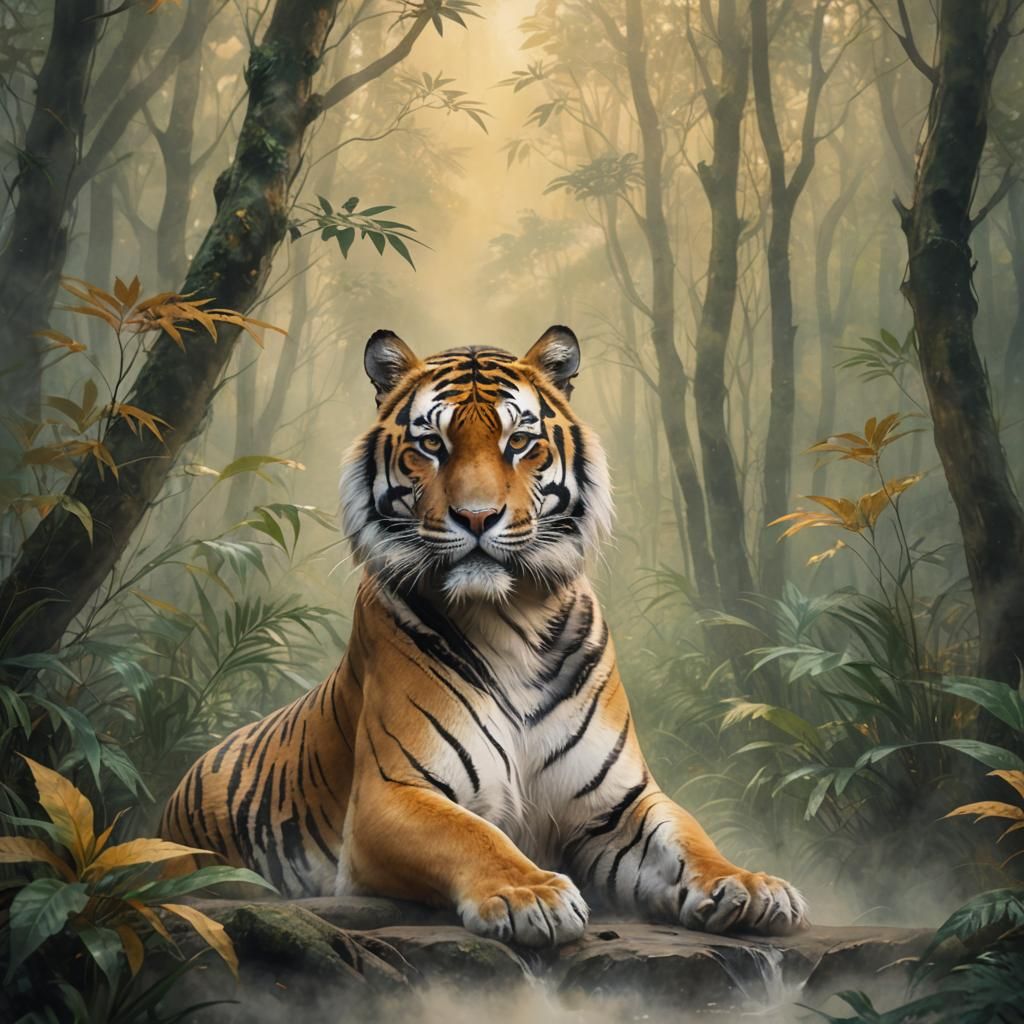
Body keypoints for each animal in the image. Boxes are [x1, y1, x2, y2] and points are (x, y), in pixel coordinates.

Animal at [160, 325, 808, 947]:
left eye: (518, 442)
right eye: (431, 445)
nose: (476, 517)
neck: (509, 618)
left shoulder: (617, 802)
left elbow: (689, 838)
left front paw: (751, 885)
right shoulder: (392, 793)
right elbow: (472, 834)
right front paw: (532, 895)